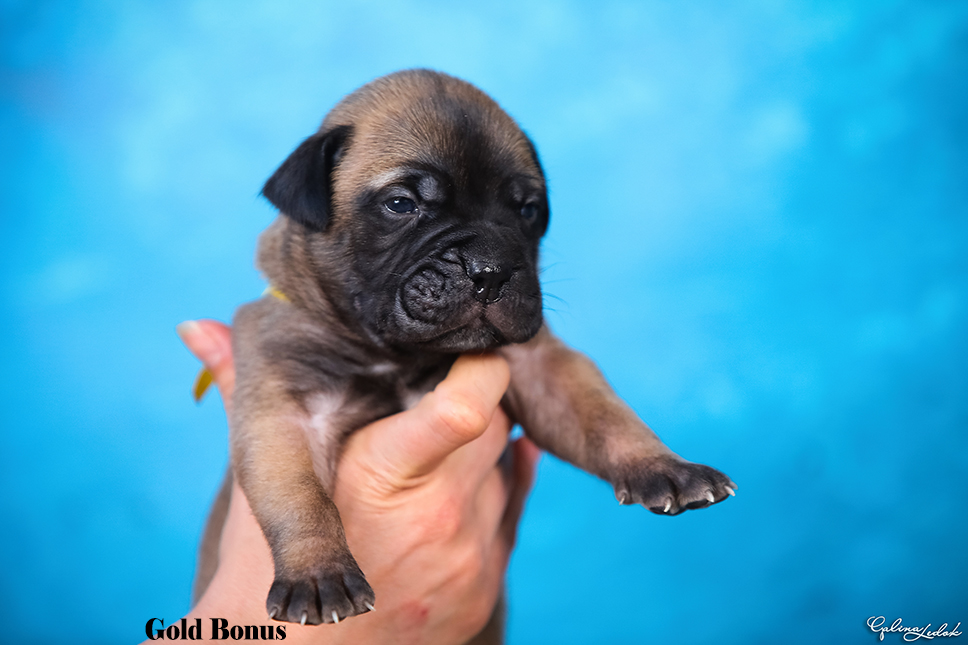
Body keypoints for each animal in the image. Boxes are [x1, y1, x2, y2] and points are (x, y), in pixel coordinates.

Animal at [193, 69, 736, 632]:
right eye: (401, 205)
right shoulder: (287, 413)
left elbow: (605, 417)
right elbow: (299, 496)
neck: (398, 353)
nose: (491, 269)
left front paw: (663, 466)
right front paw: (317, 571)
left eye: (527, 210)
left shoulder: (543, 370)